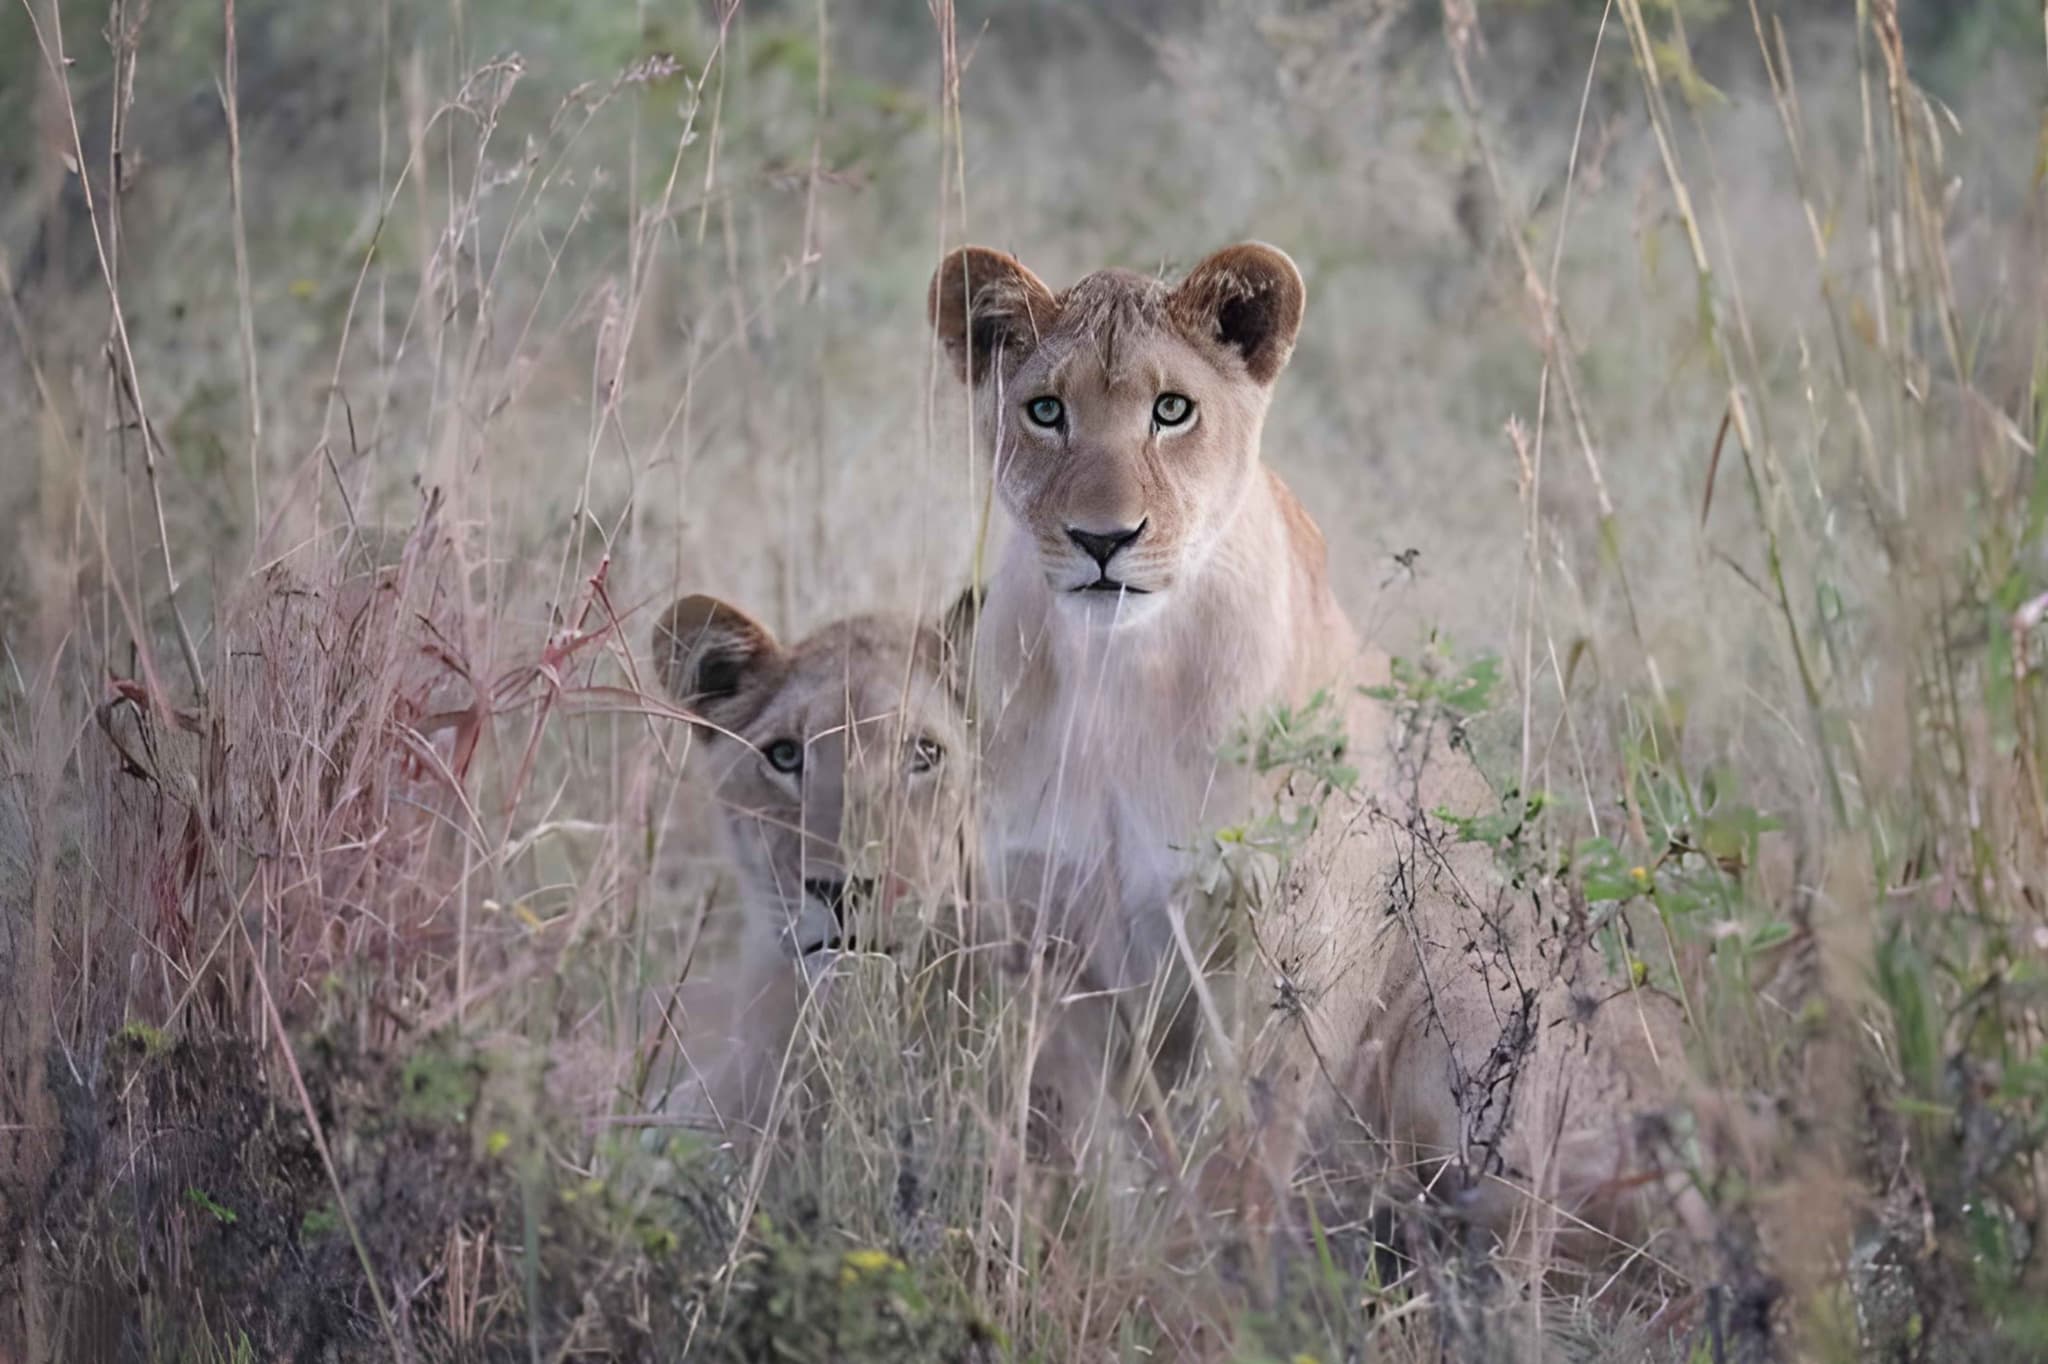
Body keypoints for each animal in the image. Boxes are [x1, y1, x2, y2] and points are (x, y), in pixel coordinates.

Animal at [929, 242, 1711, 1271]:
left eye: (1171, 410)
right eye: (1046, 410)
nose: (1105, 540)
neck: (1117, 680)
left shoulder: (1298, 941)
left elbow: (1241, 1150)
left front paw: (1216, 1282)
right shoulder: (1048, 939)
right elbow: (1102, 1153)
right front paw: (1111, 1260)